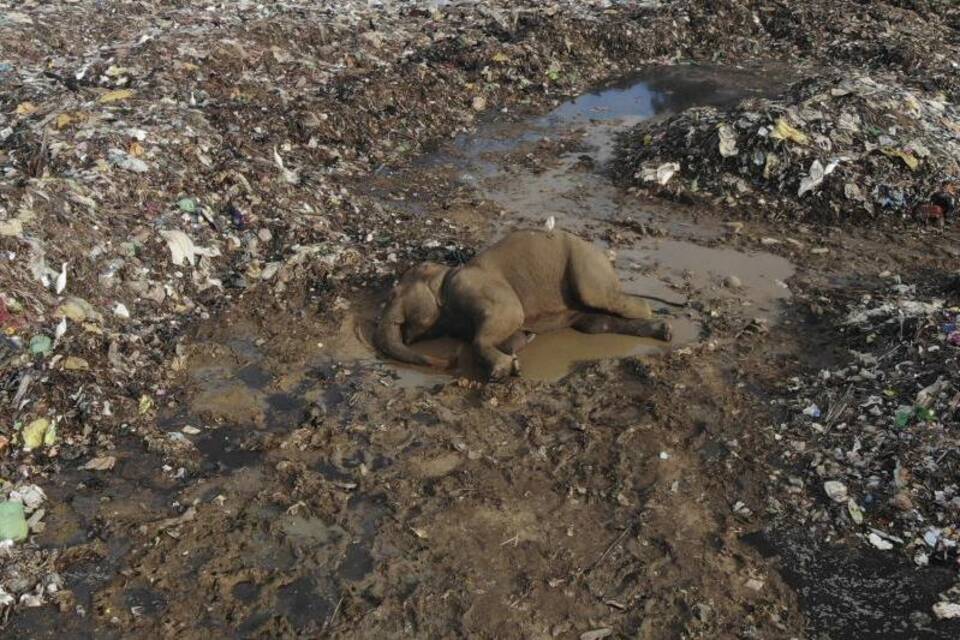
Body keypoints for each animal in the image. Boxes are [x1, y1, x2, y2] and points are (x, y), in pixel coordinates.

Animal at [376, 230, 676, 380]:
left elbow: (510, 315)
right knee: (596, 324)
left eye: (392, 294)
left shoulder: (475, 286)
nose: (450, 360)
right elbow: (510, 333)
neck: (446, 275)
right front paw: (520, 347)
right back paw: (662, 330)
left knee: (608, 299)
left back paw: (663, 325)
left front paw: (504, 371)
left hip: (586, 265)